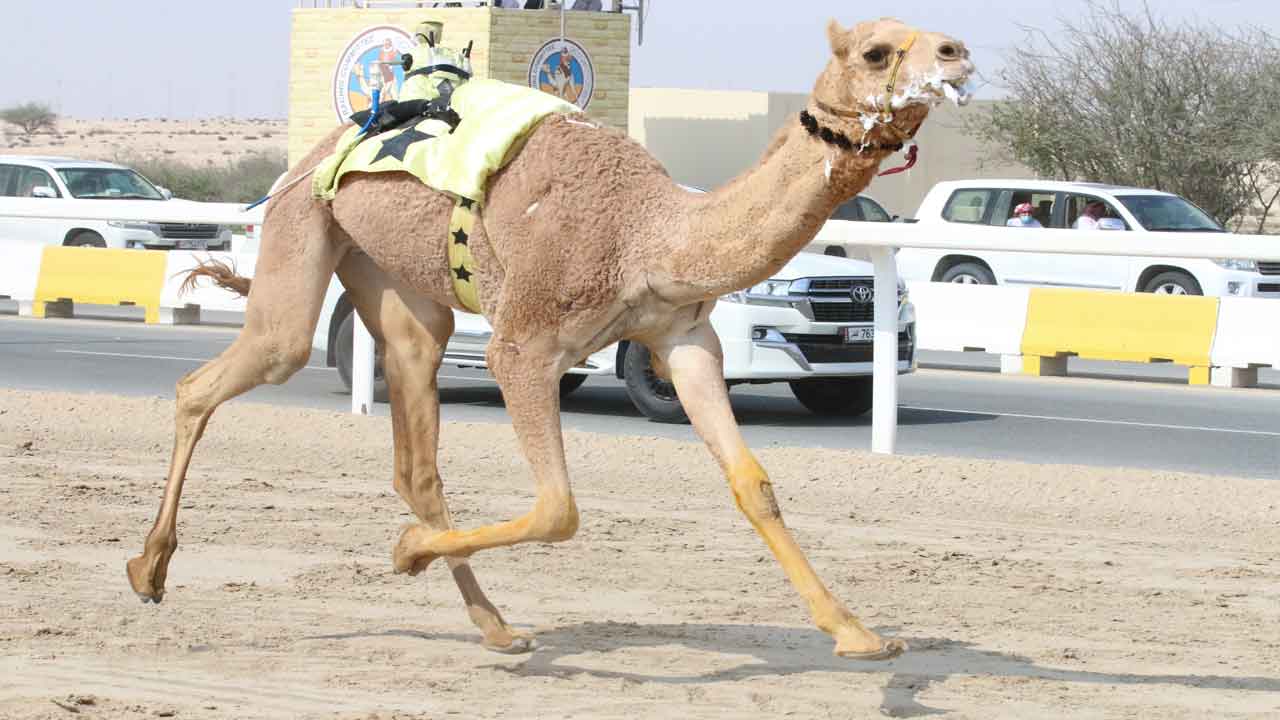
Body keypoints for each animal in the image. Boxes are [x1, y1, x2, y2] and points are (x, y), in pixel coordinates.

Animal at [127, 17, 974, 661]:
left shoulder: (684, 337)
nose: (958, 52)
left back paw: (497, 626)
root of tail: (321, 149)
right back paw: (148, 569)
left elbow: (752, 483)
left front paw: (860, 634)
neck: (652, 230)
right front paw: (403, 552)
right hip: (304, 230)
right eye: (877, 50)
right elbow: (560, 508)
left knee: (416, 461)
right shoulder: (525, 345)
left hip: (398, 288)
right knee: (224, 376)